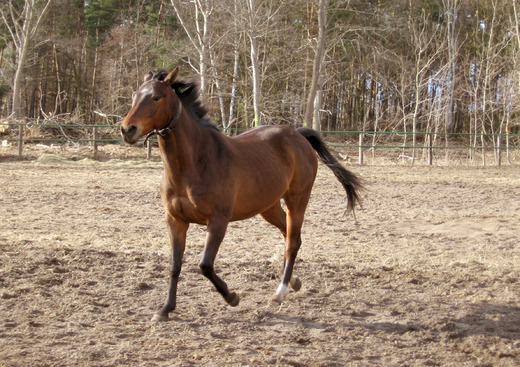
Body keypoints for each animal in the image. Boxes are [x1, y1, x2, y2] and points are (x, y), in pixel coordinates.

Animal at [121, 69, 362, 322]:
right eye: (134, 95)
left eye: (156, 97)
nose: (128, 130)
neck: (192, 165)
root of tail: (297, 134)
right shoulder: (175, 221)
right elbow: (174, 265)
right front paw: (165, 309)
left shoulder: (218, 220)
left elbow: (205, 265)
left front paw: (232, 297)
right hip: (268, 207)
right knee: (289, 236)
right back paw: (294, 282)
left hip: (297, 200)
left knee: (292, 242)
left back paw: (280, 292)